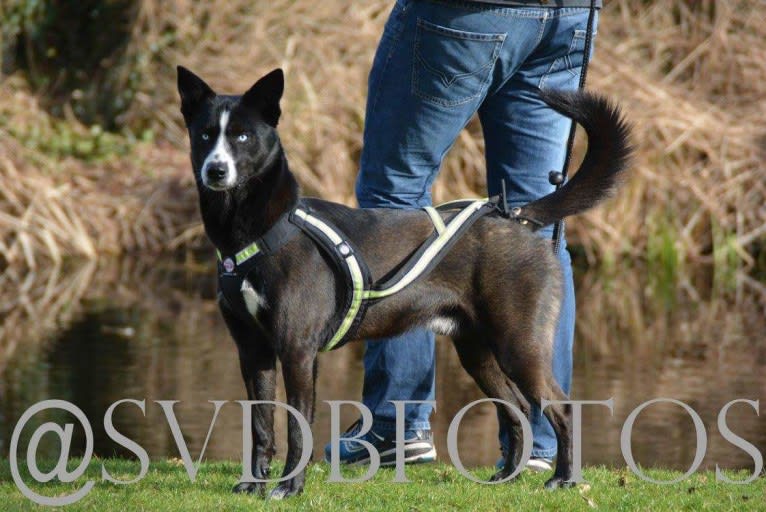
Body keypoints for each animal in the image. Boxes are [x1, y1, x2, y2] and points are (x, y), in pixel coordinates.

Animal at [177, 66, 632, 498]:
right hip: (476, 350)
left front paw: (289, 488)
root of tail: (517, 219)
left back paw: (564, 480)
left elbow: (296, 428)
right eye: (205, 134)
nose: (215, 170)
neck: (255, 232)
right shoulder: (252, 351)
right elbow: (260, 425)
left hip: (518, 345)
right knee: (516, 407)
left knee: (561, 408)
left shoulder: (298, 351)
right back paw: (506, 477)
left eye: (242, 136)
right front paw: (253, 485)